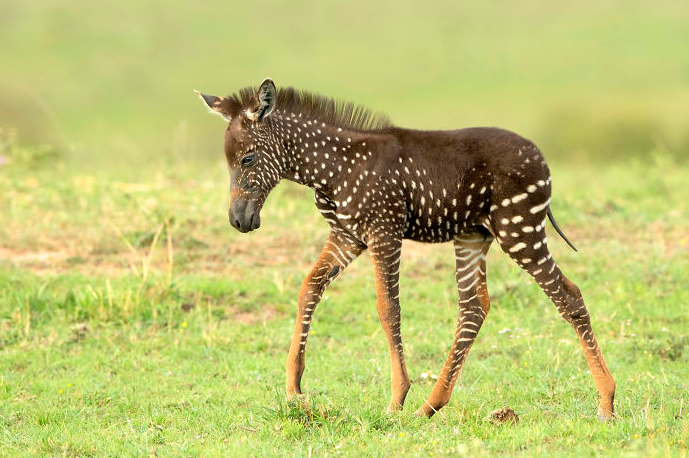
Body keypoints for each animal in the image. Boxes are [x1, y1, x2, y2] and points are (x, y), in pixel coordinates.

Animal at [196, 78, 616, 418]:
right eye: (228, 162)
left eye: (248, 158)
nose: (239, 220)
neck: (333, 169)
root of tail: (542, 161)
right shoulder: (347, 236)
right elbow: (309, 288)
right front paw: (294, 386)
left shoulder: (384, 232)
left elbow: (388, 308)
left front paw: (397, 398)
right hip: (474, 236)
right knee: (474, 307)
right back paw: (431, 406)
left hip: (520, 229)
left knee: (568, 295)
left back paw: (607, 401)